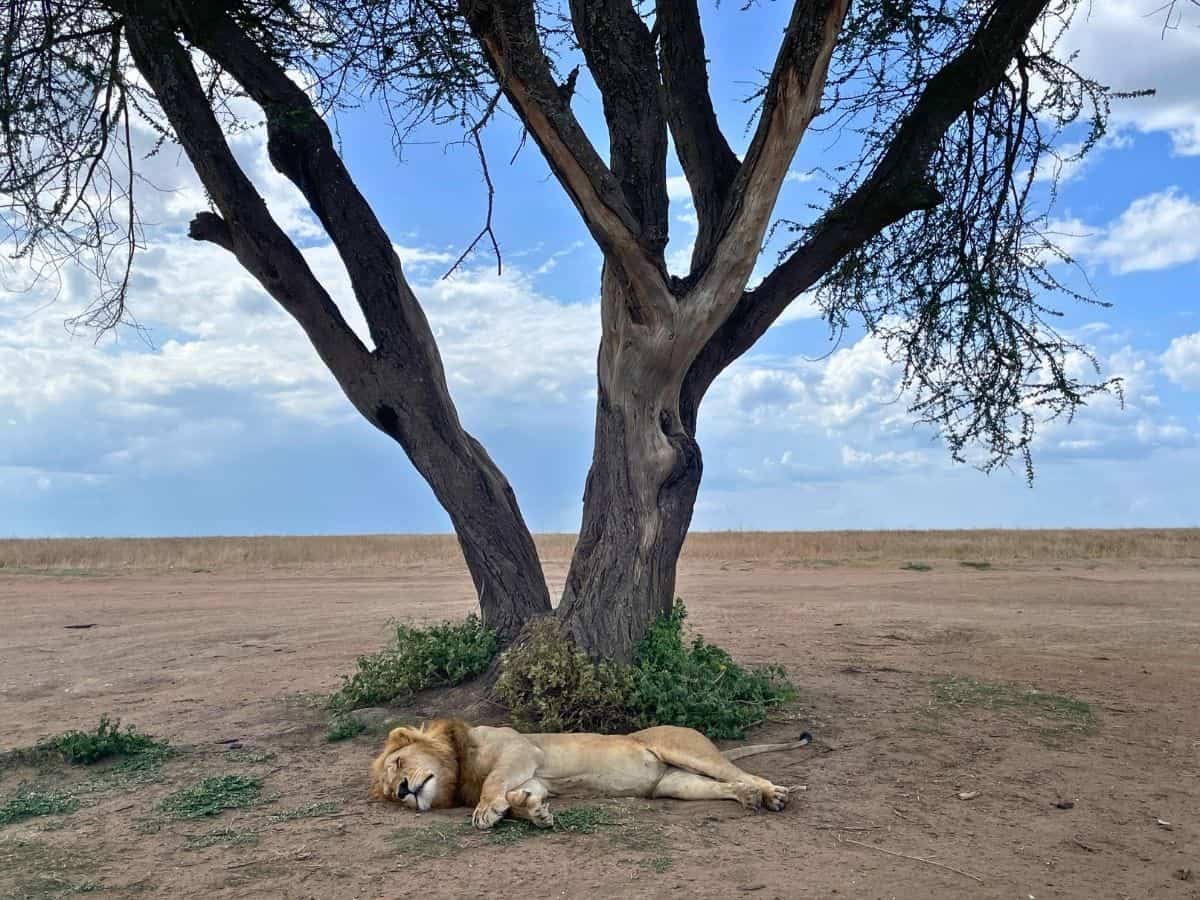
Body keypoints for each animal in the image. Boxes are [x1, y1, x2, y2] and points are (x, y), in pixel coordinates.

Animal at [369, 718, 811, 830]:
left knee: (740, 771)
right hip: (676, 784)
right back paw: (753, 798)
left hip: (685, 749)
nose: (404, 790)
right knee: (727, 784)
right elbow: (517, 797)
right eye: (390, 793)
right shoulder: (532, 776)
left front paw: (484, 811)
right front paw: (532, 811)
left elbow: (493, 784)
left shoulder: (519, 750)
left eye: (397, 764)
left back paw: (775, 793)